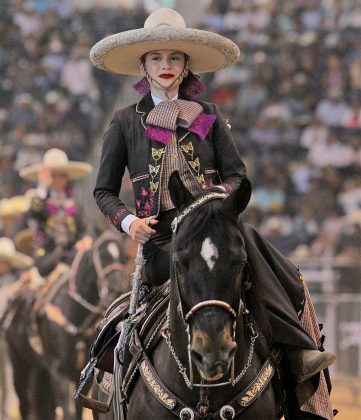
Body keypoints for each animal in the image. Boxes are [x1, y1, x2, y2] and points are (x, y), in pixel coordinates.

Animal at [4, 230, 131, 420]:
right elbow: (67, 412)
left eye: (123, 257)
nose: (115, 288)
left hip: (39, 369)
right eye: (102, 255)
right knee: (24, 403)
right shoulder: (59, 373)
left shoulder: (81, 376)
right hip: (20, 362)